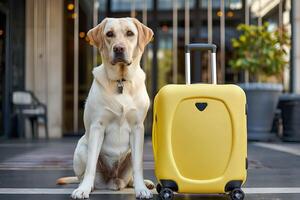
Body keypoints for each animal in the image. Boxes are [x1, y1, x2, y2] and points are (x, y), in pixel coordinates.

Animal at [56, 18, 155, 199]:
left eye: (130, 33)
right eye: (109, 34)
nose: (119, 48)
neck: (121, 81)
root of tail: (113, 180)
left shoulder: (138, 128)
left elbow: (138, 166)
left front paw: (141, 189)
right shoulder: (97, 126)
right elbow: (91, 165)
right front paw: (83, 190)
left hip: (130, 155)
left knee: (130, 176)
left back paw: (144, 183)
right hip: (81, 148)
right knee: (85, 173)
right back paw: (86, 185)